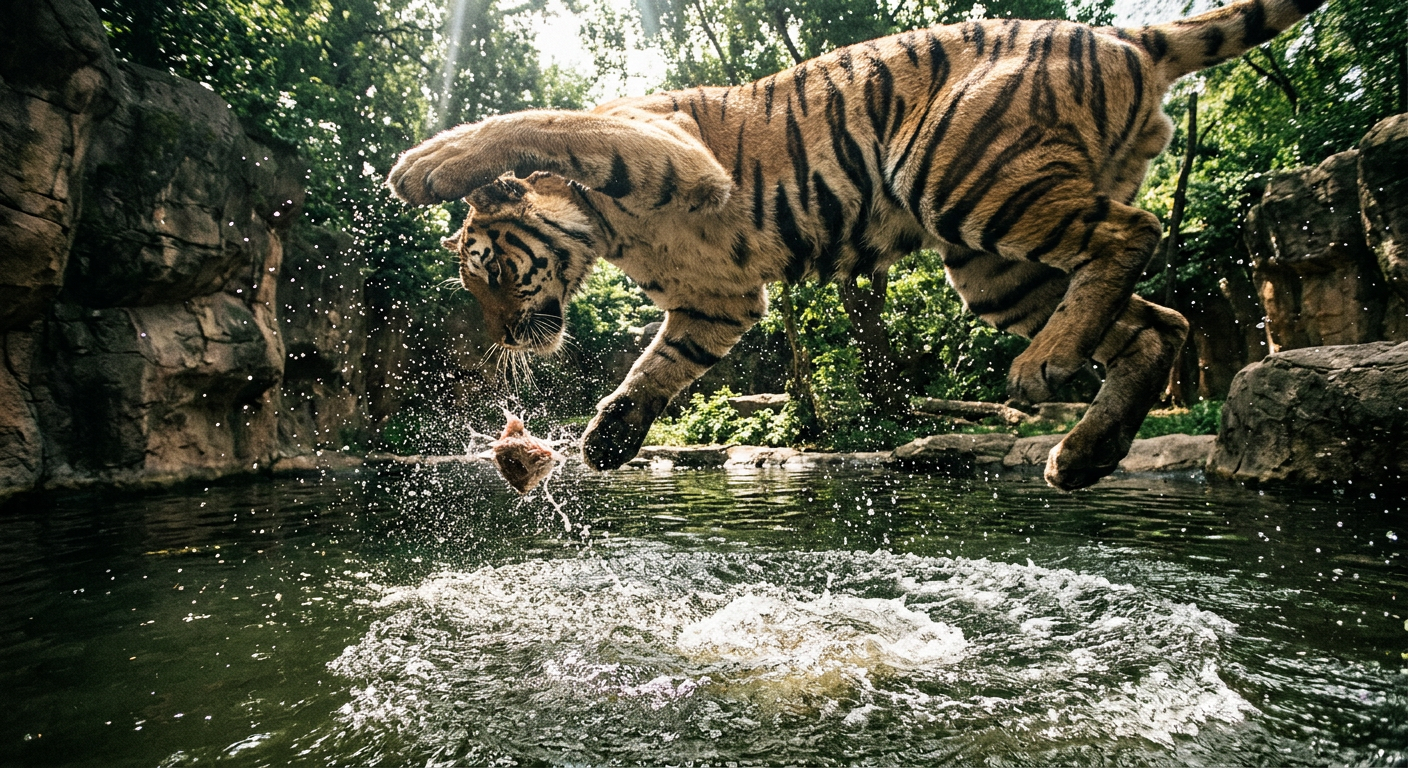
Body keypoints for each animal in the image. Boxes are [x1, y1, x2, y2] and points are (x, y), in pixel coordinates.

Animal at [388, 0, 1323, 490]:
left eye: (489, 271)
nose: (503, 337)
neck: (606, 238)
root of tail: (1125, 34)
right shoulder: (716, 299)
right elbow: (660, 366)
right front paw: (610, 439)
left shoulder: (670, 153)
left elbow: (538, 122)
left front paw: (427, 166)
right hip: (995, 266)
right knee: (1159, 320)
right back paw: (1081, 452)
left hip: (969, 178)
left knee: (1135, 232)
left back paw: (1045, 370)